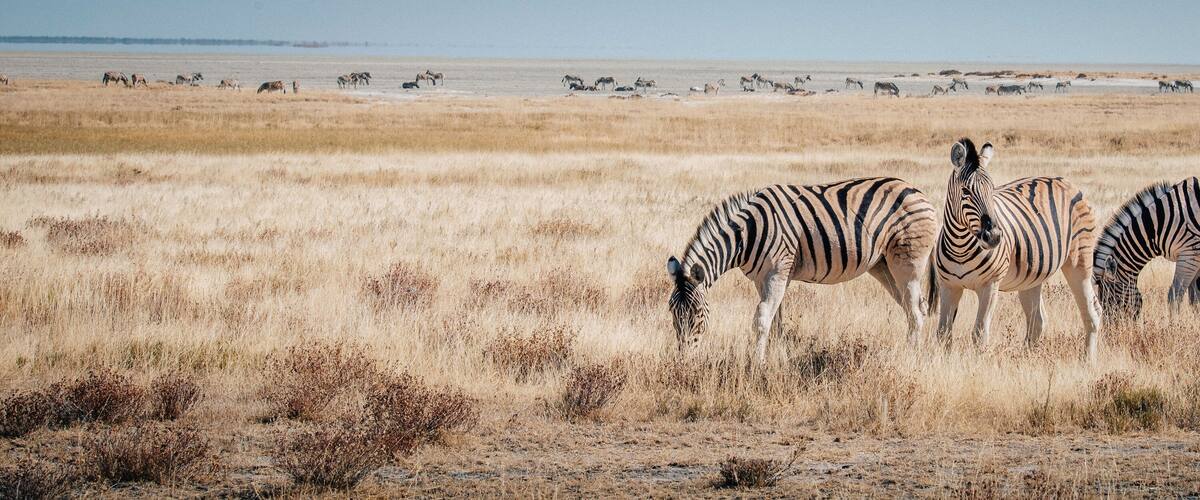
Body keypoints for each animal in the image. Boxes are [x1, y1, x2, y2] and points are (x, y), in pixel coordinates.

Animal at [667, 178, 937, 363]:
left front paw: (757, 364)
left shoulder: (777, 273)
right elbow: (776, 321)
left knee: (915, 312)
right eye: (672, 312)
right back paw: (915, 352)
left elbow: (762, 319)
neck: (747, 234)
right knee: (915, 308)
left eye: (697, 313)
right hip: (883, 266)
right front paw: (776, 357)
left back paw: (910, 358)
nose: (682, 361)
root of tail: (919, 192)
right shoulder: (764, 278)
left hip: (907, 263)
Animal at [930, 139, 1101, 361]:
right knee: (1038, 321)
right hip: (1032, 276)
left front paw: (976, 365)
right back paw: (1027, 359)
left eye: (992, 190)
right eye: (966, 191)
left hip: (1079, 262)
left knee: (1092, 313)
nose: (994, 236)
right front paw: (944, 363)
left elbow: (979, 333)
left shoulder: (990, 285)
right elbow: (943, 333)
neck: (961, 246)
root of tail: (1064, 181)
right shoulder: (949, 286)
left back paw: (1088, 360)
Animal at [1094, 178, 1200, 320]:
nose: (1110, 327)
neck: (1158, 224)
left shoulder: (1189, 256)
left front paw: (1174, 324)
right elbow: (1195, 297)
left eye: (1110, 300)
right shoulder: (1194, 257)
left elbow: (1175, 295)